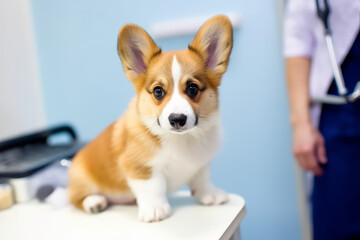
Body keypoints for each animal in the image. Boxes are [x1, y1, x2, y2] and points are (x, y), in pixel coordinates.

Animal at [68, 14, 233, 221]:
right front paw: (155, 209)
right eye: (158, 91)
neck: (182, 140)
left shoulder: (201, 164)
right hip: (81, 178)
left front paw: (209, 194)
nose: (177, 119)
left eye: (192, 88)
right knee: (74, 198)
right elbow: (153, 187)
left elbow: (202, 179)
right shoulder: (140, 167)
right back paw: (94, 201)